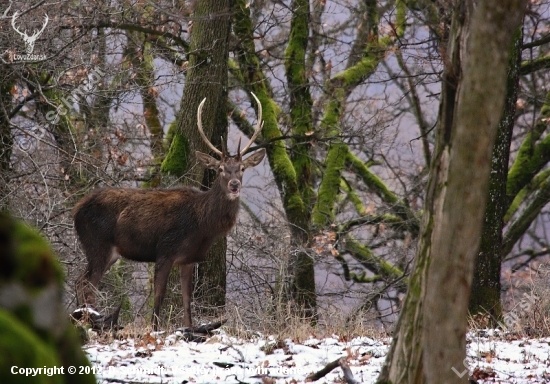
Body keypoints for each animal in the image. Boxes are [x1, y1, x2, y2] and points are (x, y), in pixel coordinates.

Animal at [74, 92, 268, 330]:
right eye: (220, 169)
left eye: (242, 169)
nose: (234, 185)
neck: (203, 224)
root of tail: (76, 210)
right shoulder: (165, 250)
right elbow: (159, 296)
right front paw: (154, 329)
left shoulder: (189, 259)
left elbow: (187, 300)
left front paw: (189, 328)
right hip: (96, 243)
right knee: (87, 283)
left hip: (110, 251)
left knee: (81, 280)